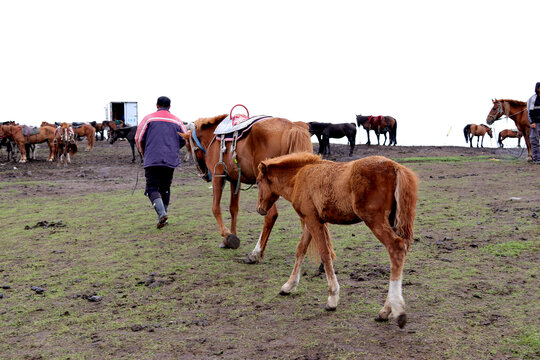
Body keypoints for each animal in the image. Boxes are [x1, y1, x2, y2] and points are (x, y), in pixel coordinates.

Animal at [256, 153, 418, 328]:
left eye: (258, 181)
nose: (259, 209)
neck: (299, 176)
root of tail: (395, 166)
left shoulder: (312, 220)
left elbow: (324, 254)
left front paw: (332, 298)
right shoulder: (311, 219)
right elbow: (301, 249)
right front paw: (288, 285)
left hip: (374, 219)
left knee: (396, 247)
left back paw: (397, 310)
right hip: (392, 220)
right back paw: (385, 311)